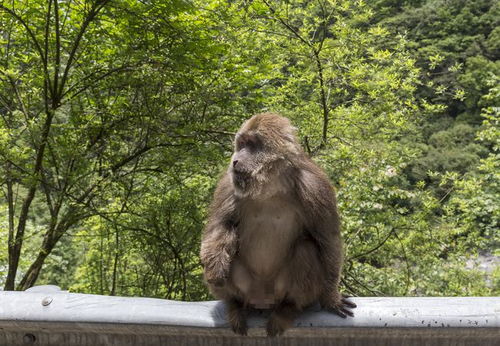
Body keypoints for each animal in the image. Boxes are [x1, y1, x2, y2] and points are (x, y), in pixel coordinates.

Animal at [199, 113, 356, 336]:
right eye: (241, 144)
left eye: (251, 144)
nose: (235, 160)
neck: (270, 186)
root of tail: (262, 300)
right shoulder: (229, 184)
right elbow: (220, 226)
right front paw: (216, 270)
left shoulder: (316, 187)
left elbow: (328, 240)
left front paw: (331, 298)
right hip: (248, 289)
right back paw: (235, 305)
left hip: (280, 291)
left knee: (306, 248)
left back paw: (288, 309)